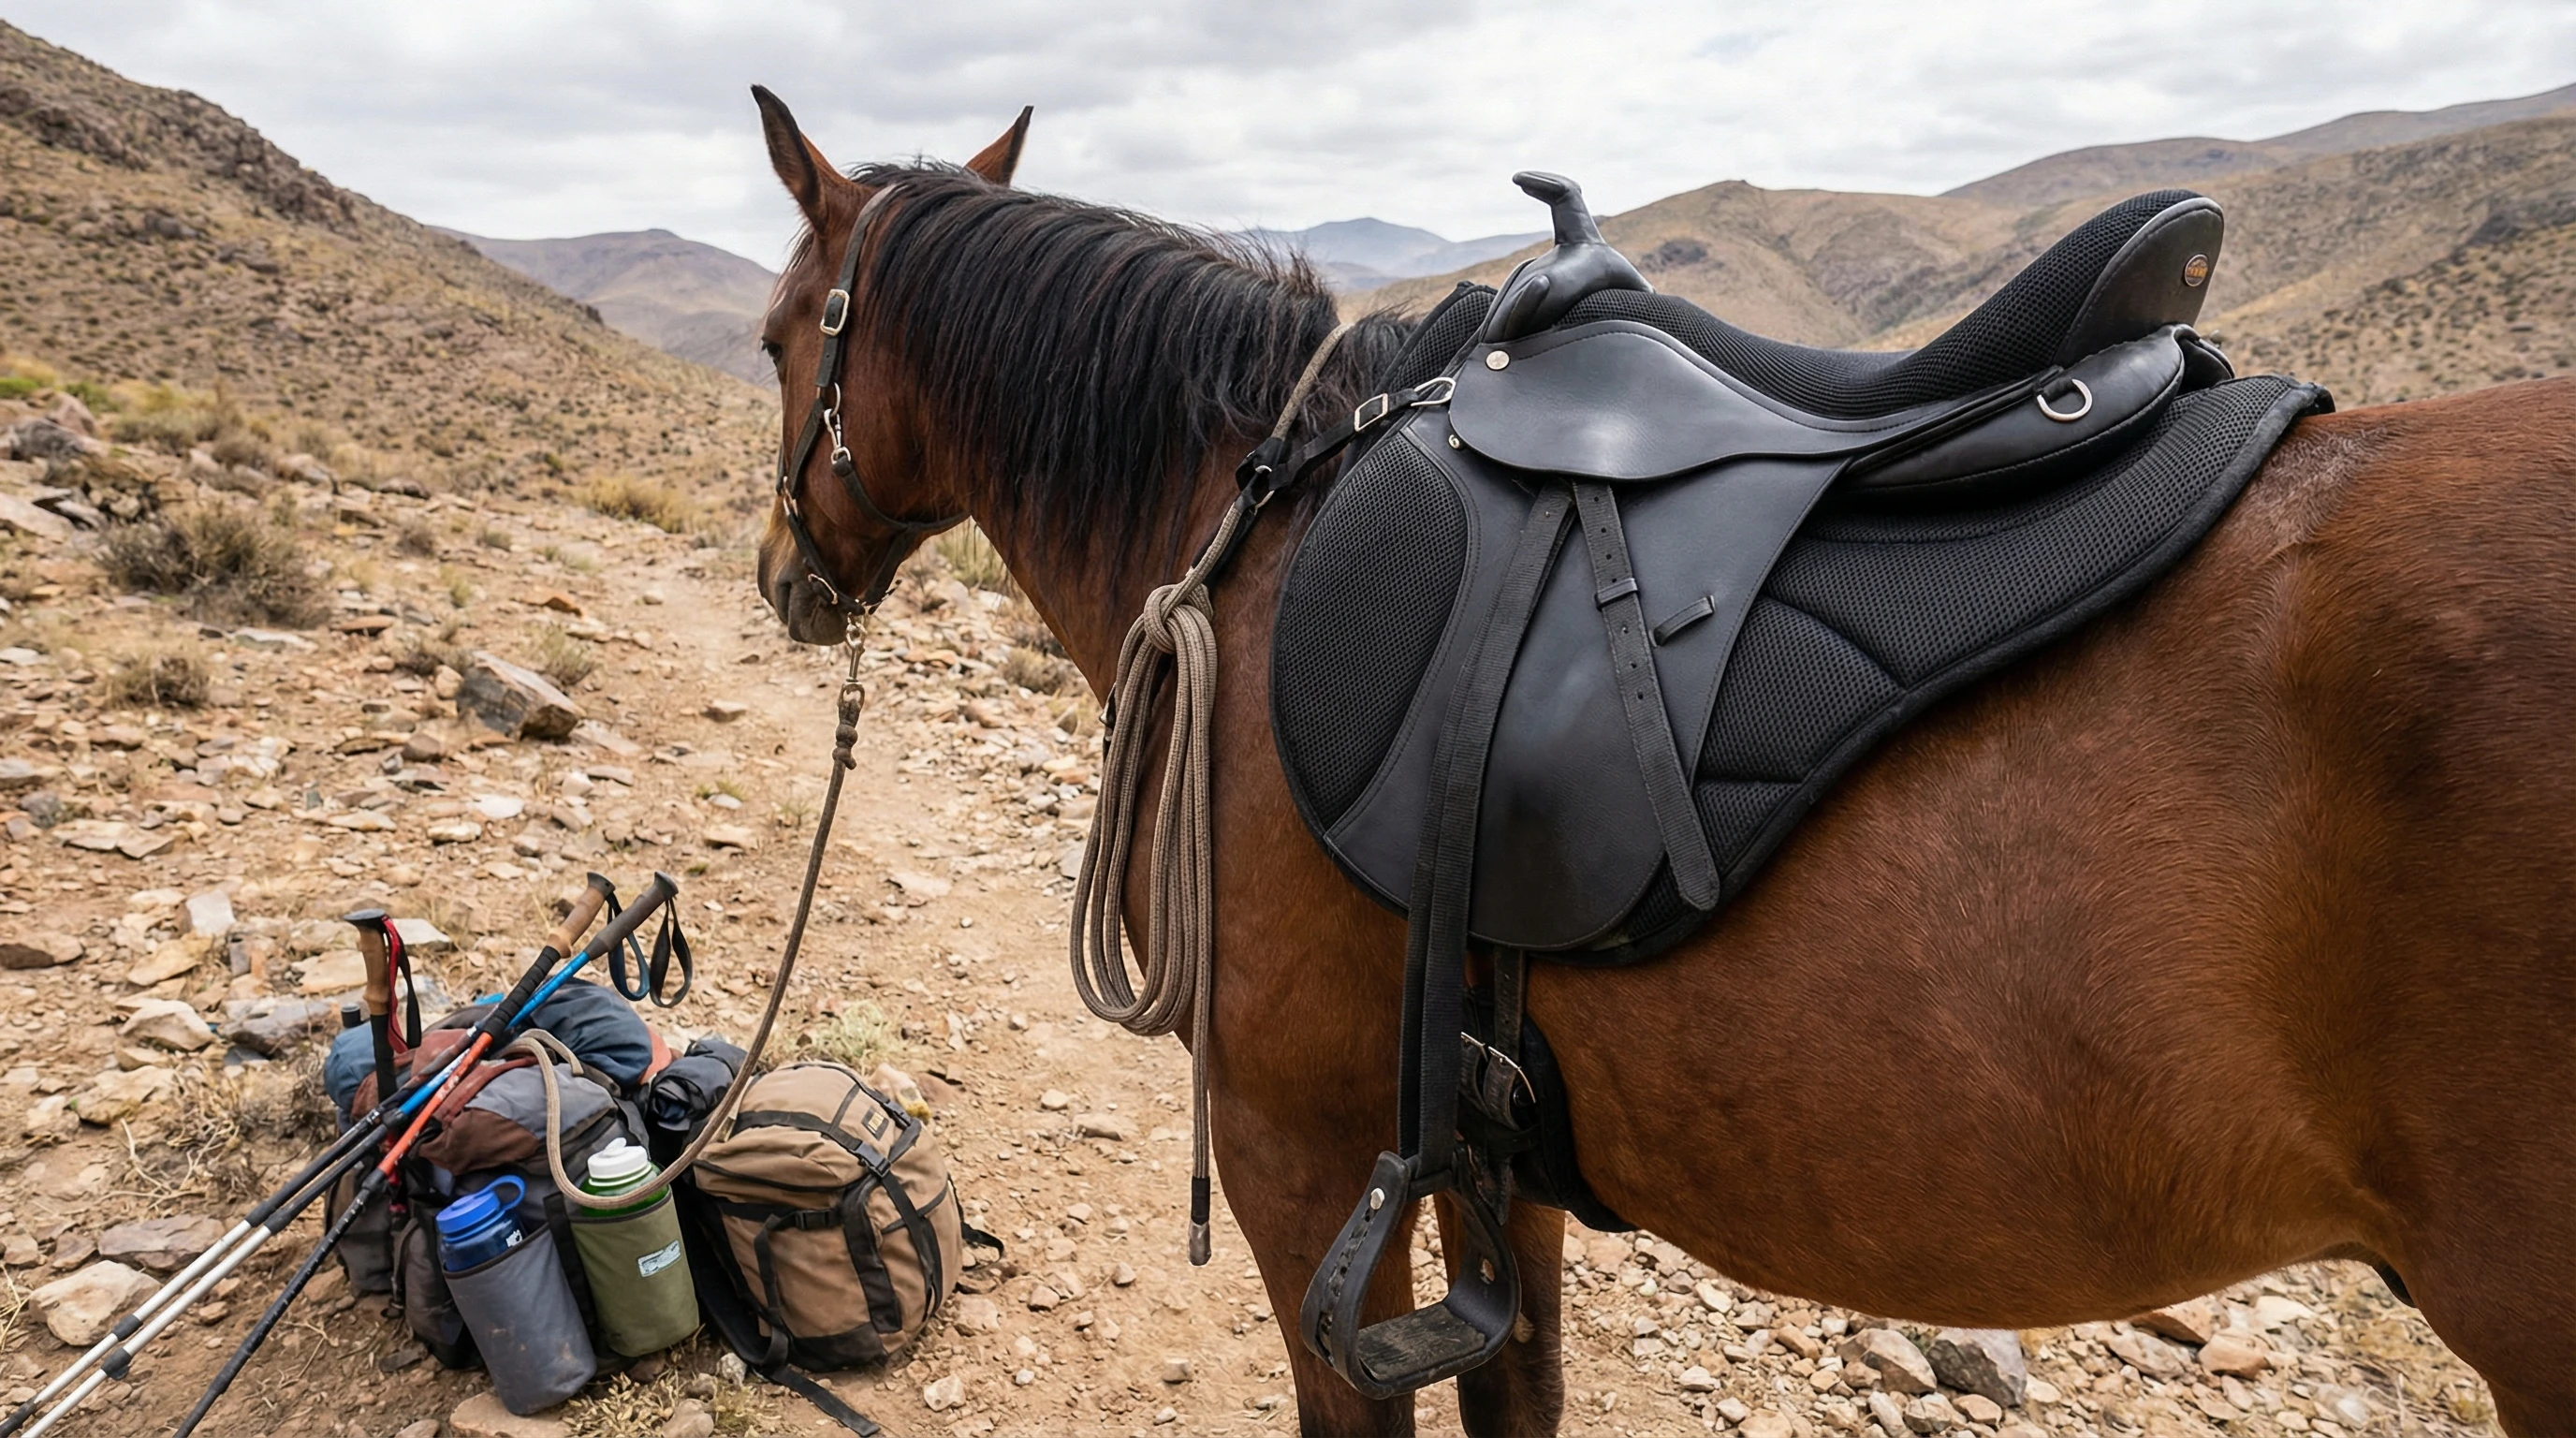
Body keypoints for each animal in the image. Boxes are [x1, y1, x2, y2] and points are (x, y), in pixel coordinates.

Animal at [744, 89, 2576, 1436]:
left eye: (775, 339)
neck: (1250, 512)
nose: (785, 583)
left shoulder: (1293, 1145)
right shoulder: (1497, 1148)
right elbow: (1520, 1390)